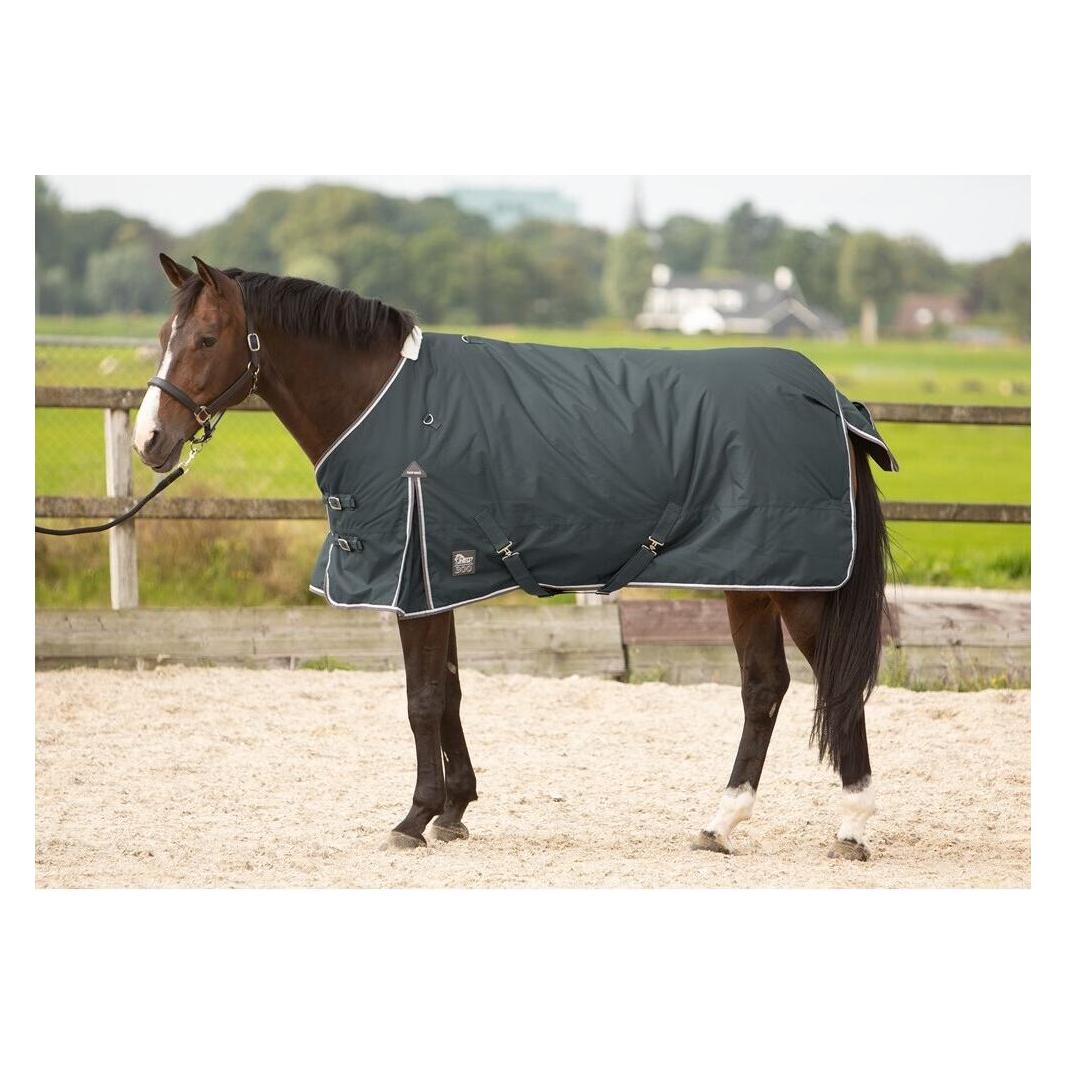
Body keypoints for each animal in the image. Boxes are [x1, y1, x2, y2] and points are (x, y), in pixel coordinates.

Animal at [134, 253, 891, 861]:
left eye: (206, 339)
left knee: (834, 685)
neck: (387, 404)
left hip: (797, 586)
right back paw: (720, 824)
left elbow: (422, 700)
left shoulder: (416, 579)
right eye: (164, 338)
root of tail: (829, 398)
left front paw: (413, 819)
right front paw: (453, 811)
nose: (149, 441)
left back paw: (851, 829)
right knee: (764, 688)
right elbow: (449, 694)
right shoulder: (438, 578)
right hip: (751, 578)